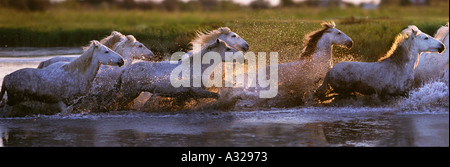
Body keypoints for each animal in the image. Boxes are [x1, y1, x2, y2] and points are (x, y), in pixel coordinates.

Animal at [314, 25, 444, 101]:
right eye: (426, 38)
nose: (442, 46)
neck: (399, 67)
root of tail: (329, 72)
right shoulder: (393, 94)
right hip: (342, 92)